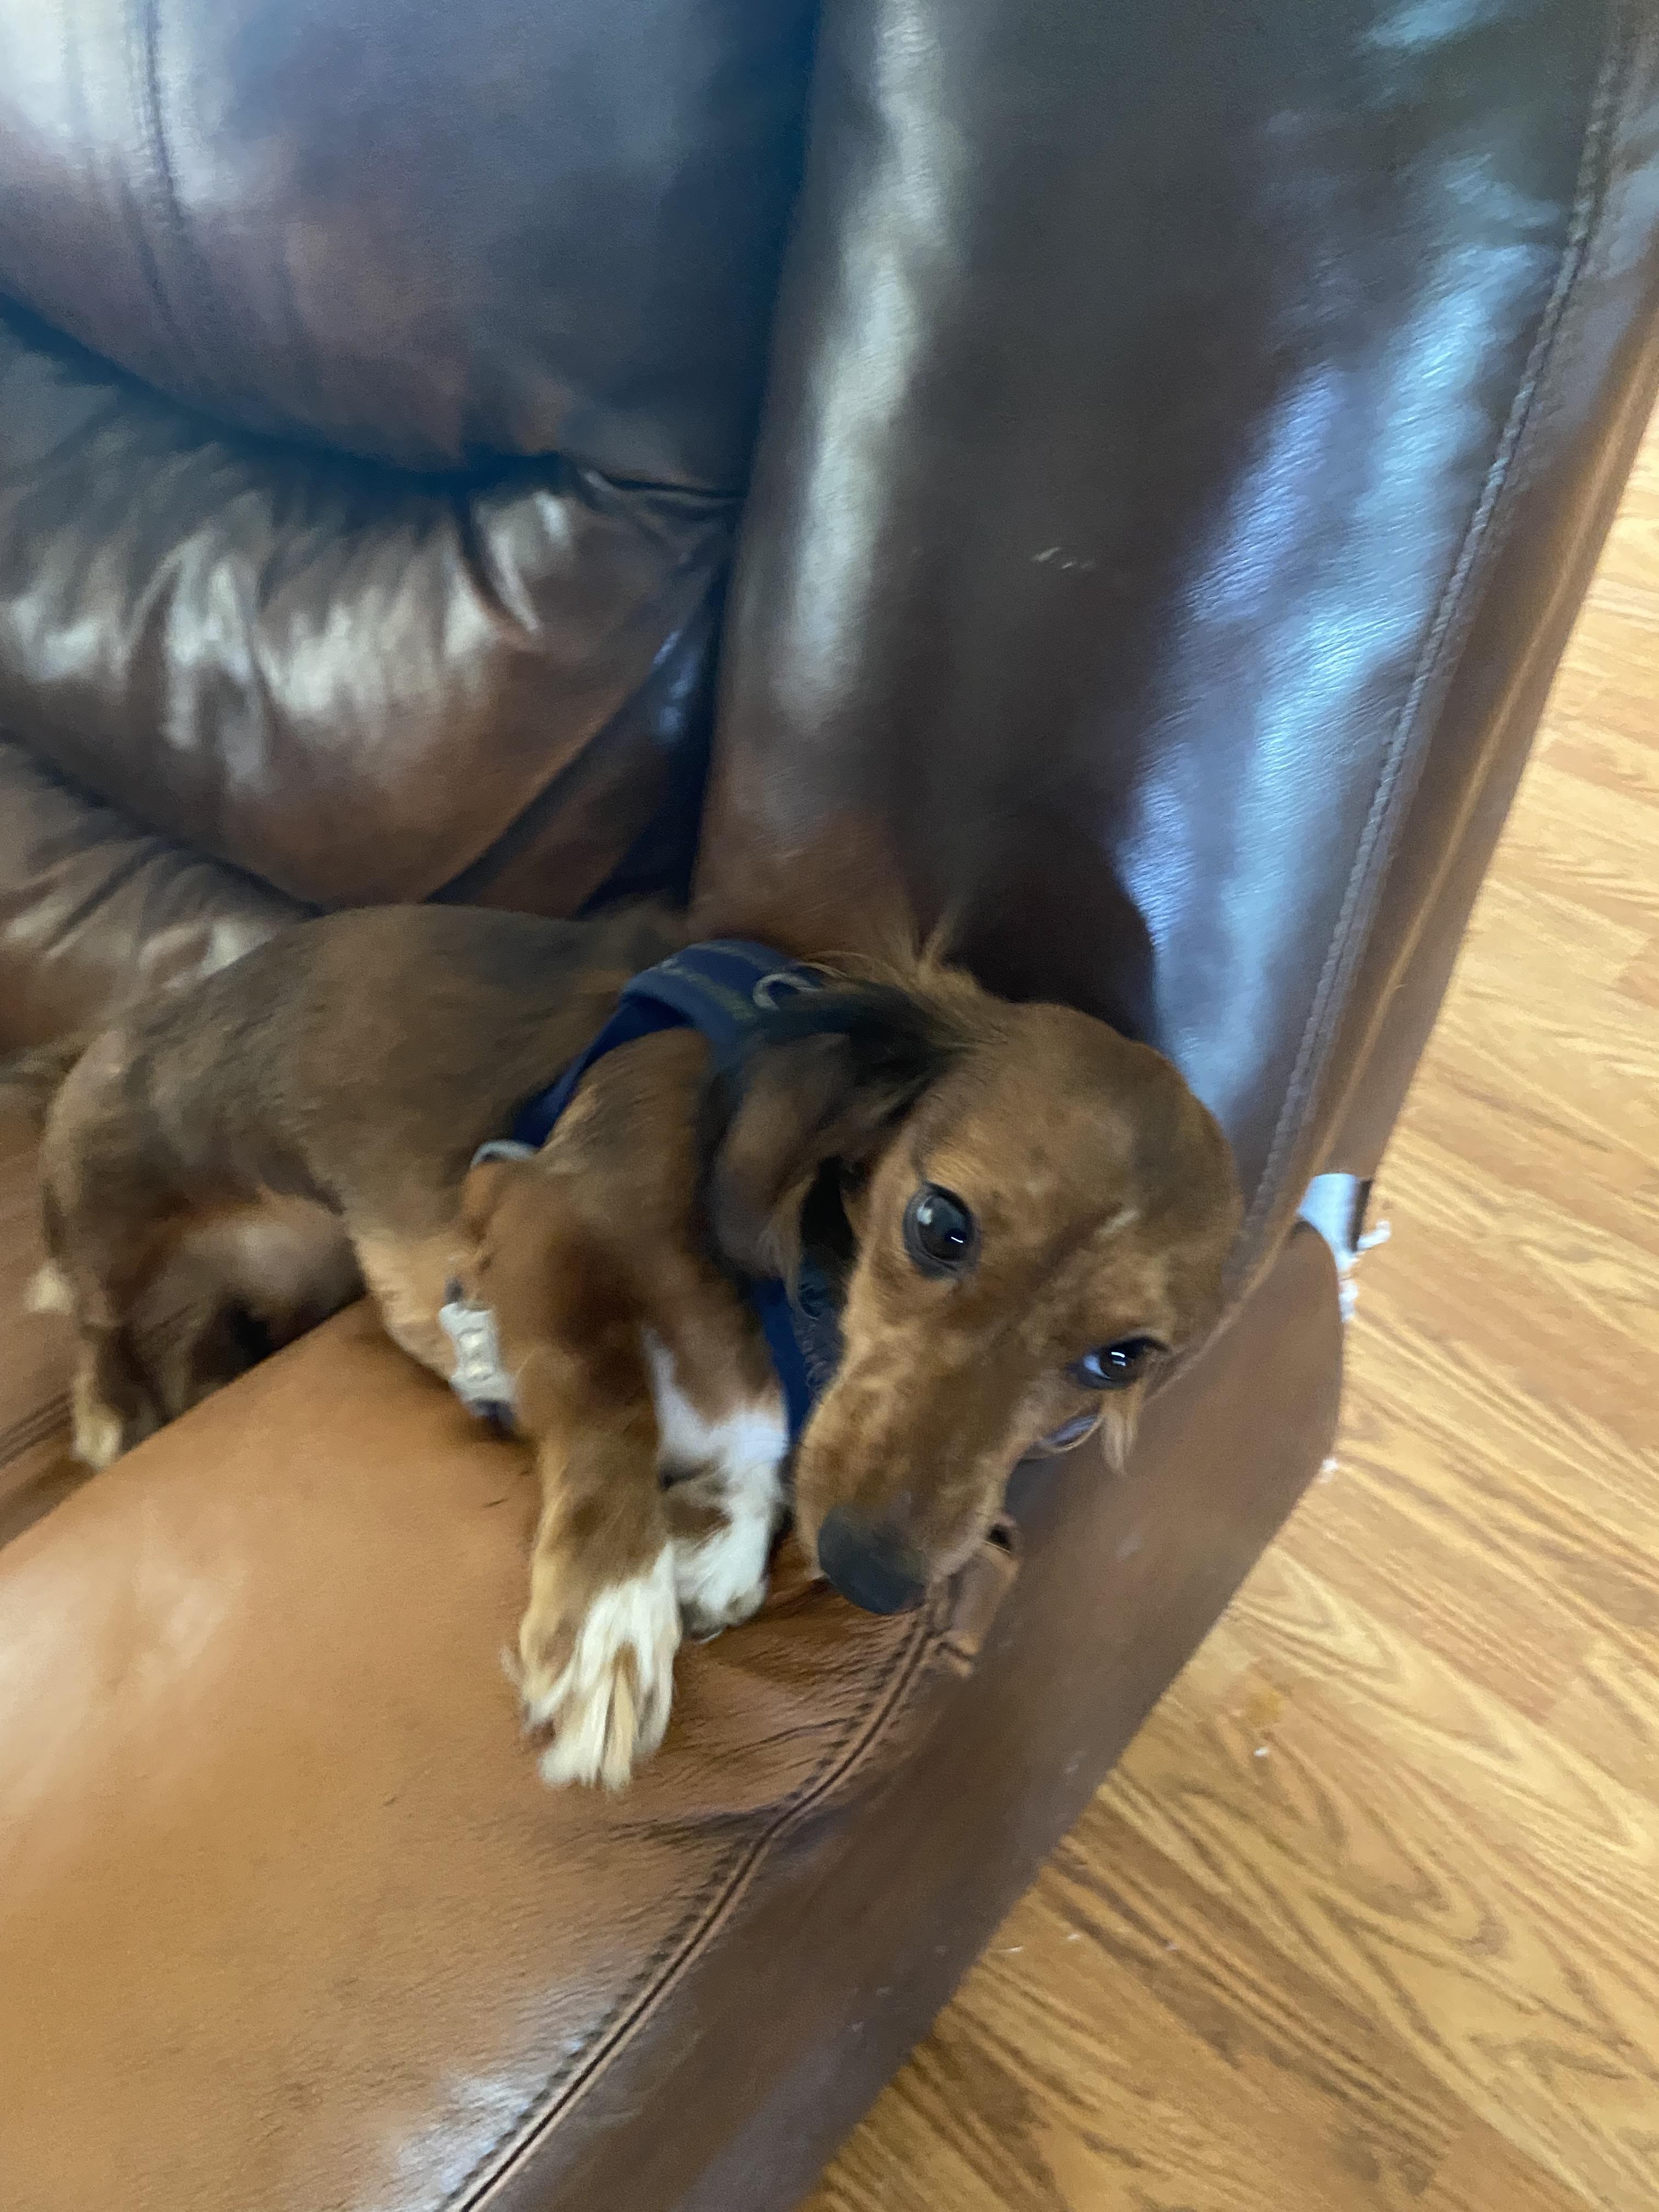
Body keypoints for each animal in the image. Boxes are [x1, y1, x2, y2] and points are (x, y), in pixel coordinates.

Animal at [8, 902, 1241, 1787]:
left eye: (1121, 1359)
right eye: (941, 1224)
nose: (871, 1576)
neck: (798, 1296)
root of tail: (103, 1035)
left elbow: (746, 1465)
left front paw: (716, 1545)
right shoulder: (531, 1213)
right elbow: (612, 1404)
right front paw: (609, 1626)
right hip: (113, 1186)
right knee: (95, 1313)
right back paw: (113, 1415)